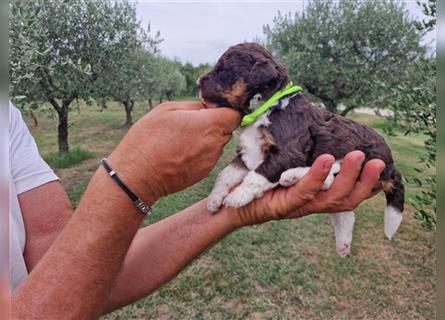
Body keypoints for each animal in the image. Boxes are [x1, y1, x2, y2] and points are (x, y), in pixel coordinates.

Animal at [199, 43, 404, 258]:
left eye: (224, 69)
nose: (198, 82)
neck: (267, 107)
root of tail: (392, 165)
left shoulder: (289, 151)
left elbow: (258, 175)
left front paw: (237, 197)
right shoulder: (248, 154)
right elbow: (224, 174)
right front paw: (214, 200)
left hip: (357, 155)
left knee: (329, 176)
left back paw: (290, 176)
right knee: (344, 211)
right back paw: (343, 245)